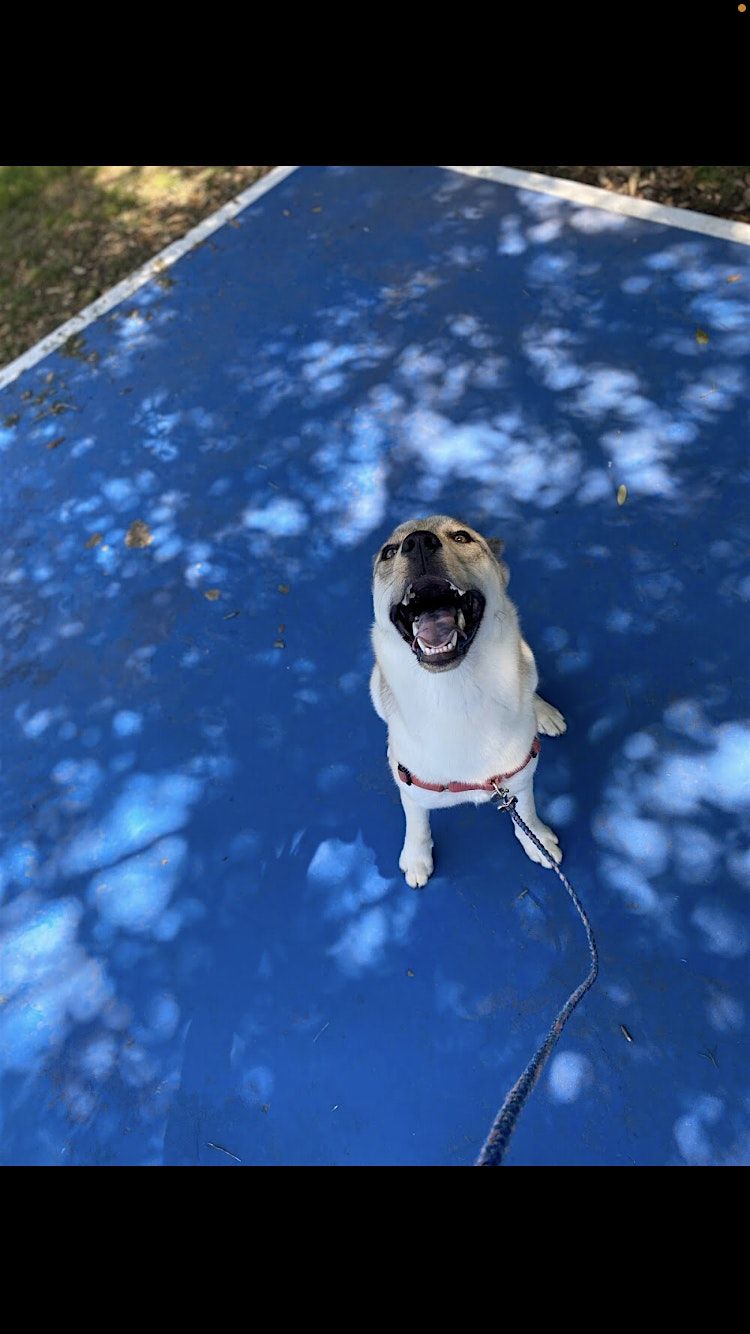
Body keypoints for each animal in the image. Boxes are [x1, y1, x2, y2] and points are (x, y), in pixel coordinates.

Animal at [368, 517, 565, 885]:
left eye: (461, 537)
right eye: (389, 552)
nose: (418, 541)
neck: (456, 693)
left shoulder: (519, 775)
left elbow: (526, 811)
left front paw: (537, 841)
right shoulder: (409, 782)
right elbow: (417, 822)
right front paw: (416, 858)